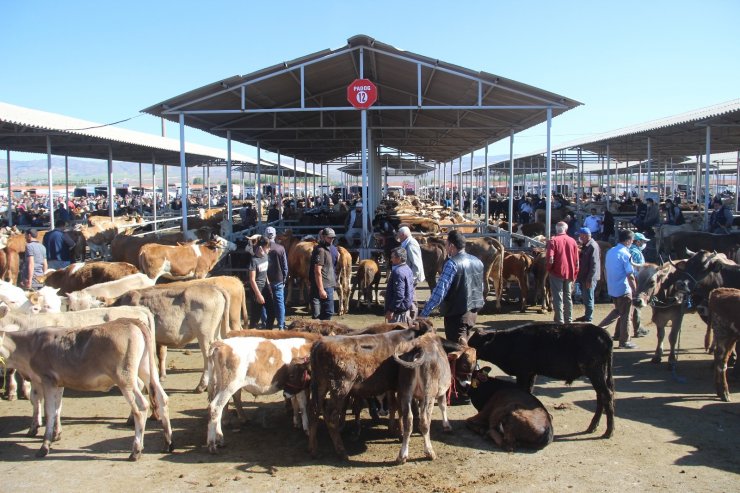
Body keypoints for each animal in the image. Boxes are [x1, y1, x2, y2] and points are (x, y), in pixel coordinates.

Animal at [0, 318, 173, 460]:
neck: (29, 345)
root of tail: (131, 322)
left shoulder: (47, 379)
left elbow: (48, 412)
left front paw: (44, 446)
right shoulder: (58, 383)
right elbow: (57, 409)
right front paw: (56, 434)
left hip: (125, 378)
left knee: (141, 406)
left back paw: (136, 451)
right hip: (145, 369)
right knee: (162, 398)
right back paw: (168, 443)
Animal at [472, 322, 616, 438]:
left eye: (475, 344)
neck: (509, 342)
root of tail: (604, 334)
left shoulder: (523, 373)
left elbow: (523, 390)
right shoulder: (531, 373)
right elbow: (529, 391)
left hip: (594, 371)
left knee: (607, 395)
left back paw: (608, 431)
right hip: (598, 373)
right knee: (600, 396)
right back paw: (592, 427)